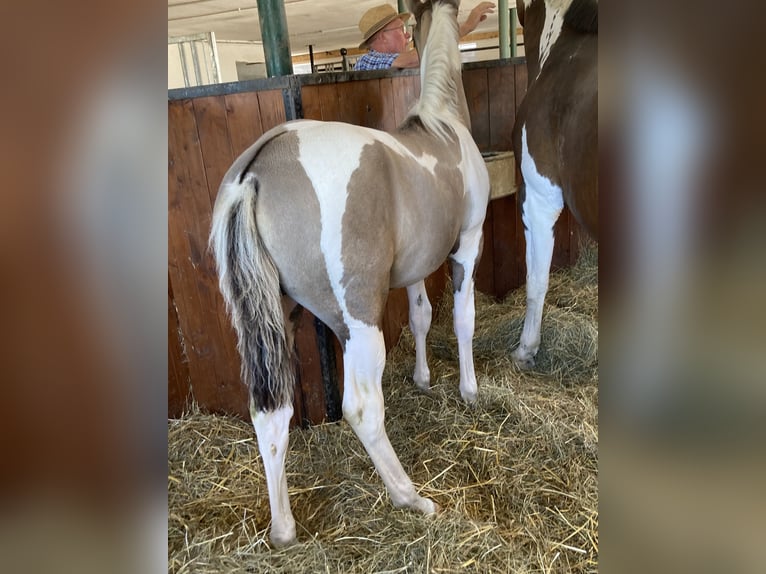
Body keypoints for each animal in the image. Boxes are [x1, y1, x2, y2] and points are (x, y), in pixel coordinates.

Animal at [208, 0, 492, 548]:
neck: (442, 124)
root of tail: (256, 173)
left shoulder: (416, 267)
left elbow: (422, 317)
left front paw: (424, 379)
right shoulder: (468, 244)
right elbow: (463, 319)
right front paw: (469, 391)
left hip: (278, 318)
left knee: (270, 415)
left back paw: (283, 530)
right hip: (358, 322)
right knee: (361, 409)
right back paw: (412, 498)